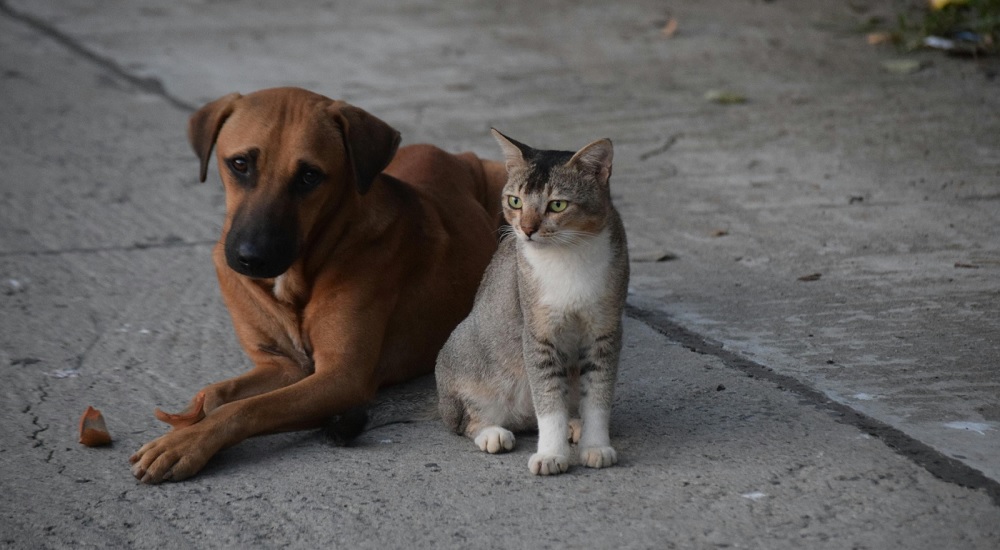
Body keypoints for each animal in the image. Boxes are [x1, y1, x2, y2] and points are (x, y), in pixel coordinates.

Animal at [131, 88, 508, 486]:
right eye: (240, 164)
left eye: (309, 176)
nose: (252, 258)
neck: (300, 271)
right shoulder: (282, 366)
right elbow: (219, 392)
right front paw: (187, 423)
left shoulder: (341, 376)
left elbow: (248, 408)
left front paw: (187, 442)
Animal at [436, 128, 628, 474]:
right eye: (515, 201)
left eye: (557, 205)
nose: (526, 229)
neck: (568, 256)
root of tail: (521, 417)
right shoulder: (538, 333)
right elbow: (548, 400)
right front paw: (551, 454)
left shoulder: (605, 331)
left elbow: (598, 396)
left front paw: (596, 445)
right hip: (464, 356)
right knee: (468, 421)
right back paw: (493, 433)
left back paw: (574, 425)